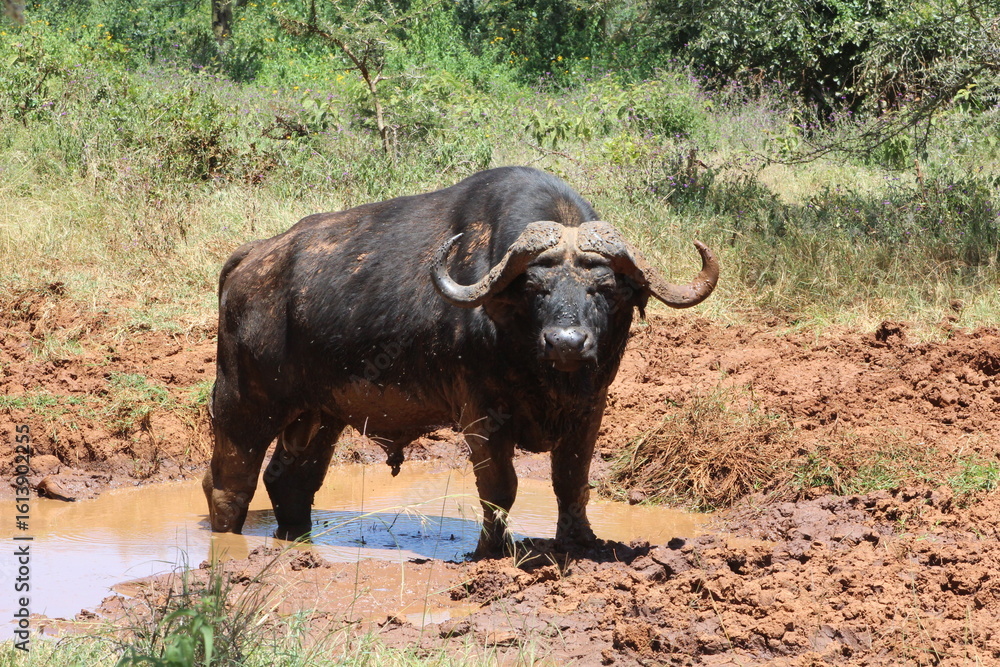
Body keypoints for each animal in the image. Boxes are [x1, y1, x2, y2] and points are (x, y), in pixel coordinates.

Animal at [203, 166, 718, 556]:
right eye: (535, 288)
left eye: (605, 289)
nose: (567, 343)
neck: (534, 361)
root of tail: (251, 259)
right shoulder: (481, 413)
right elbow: (500, 486)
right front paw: (492, 550)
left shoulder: (590, 407)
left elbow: (572, 481)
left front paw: (580, 543)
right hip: (243, 402)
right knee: (228, 483)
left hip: (321, 414)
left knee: (291, 480)